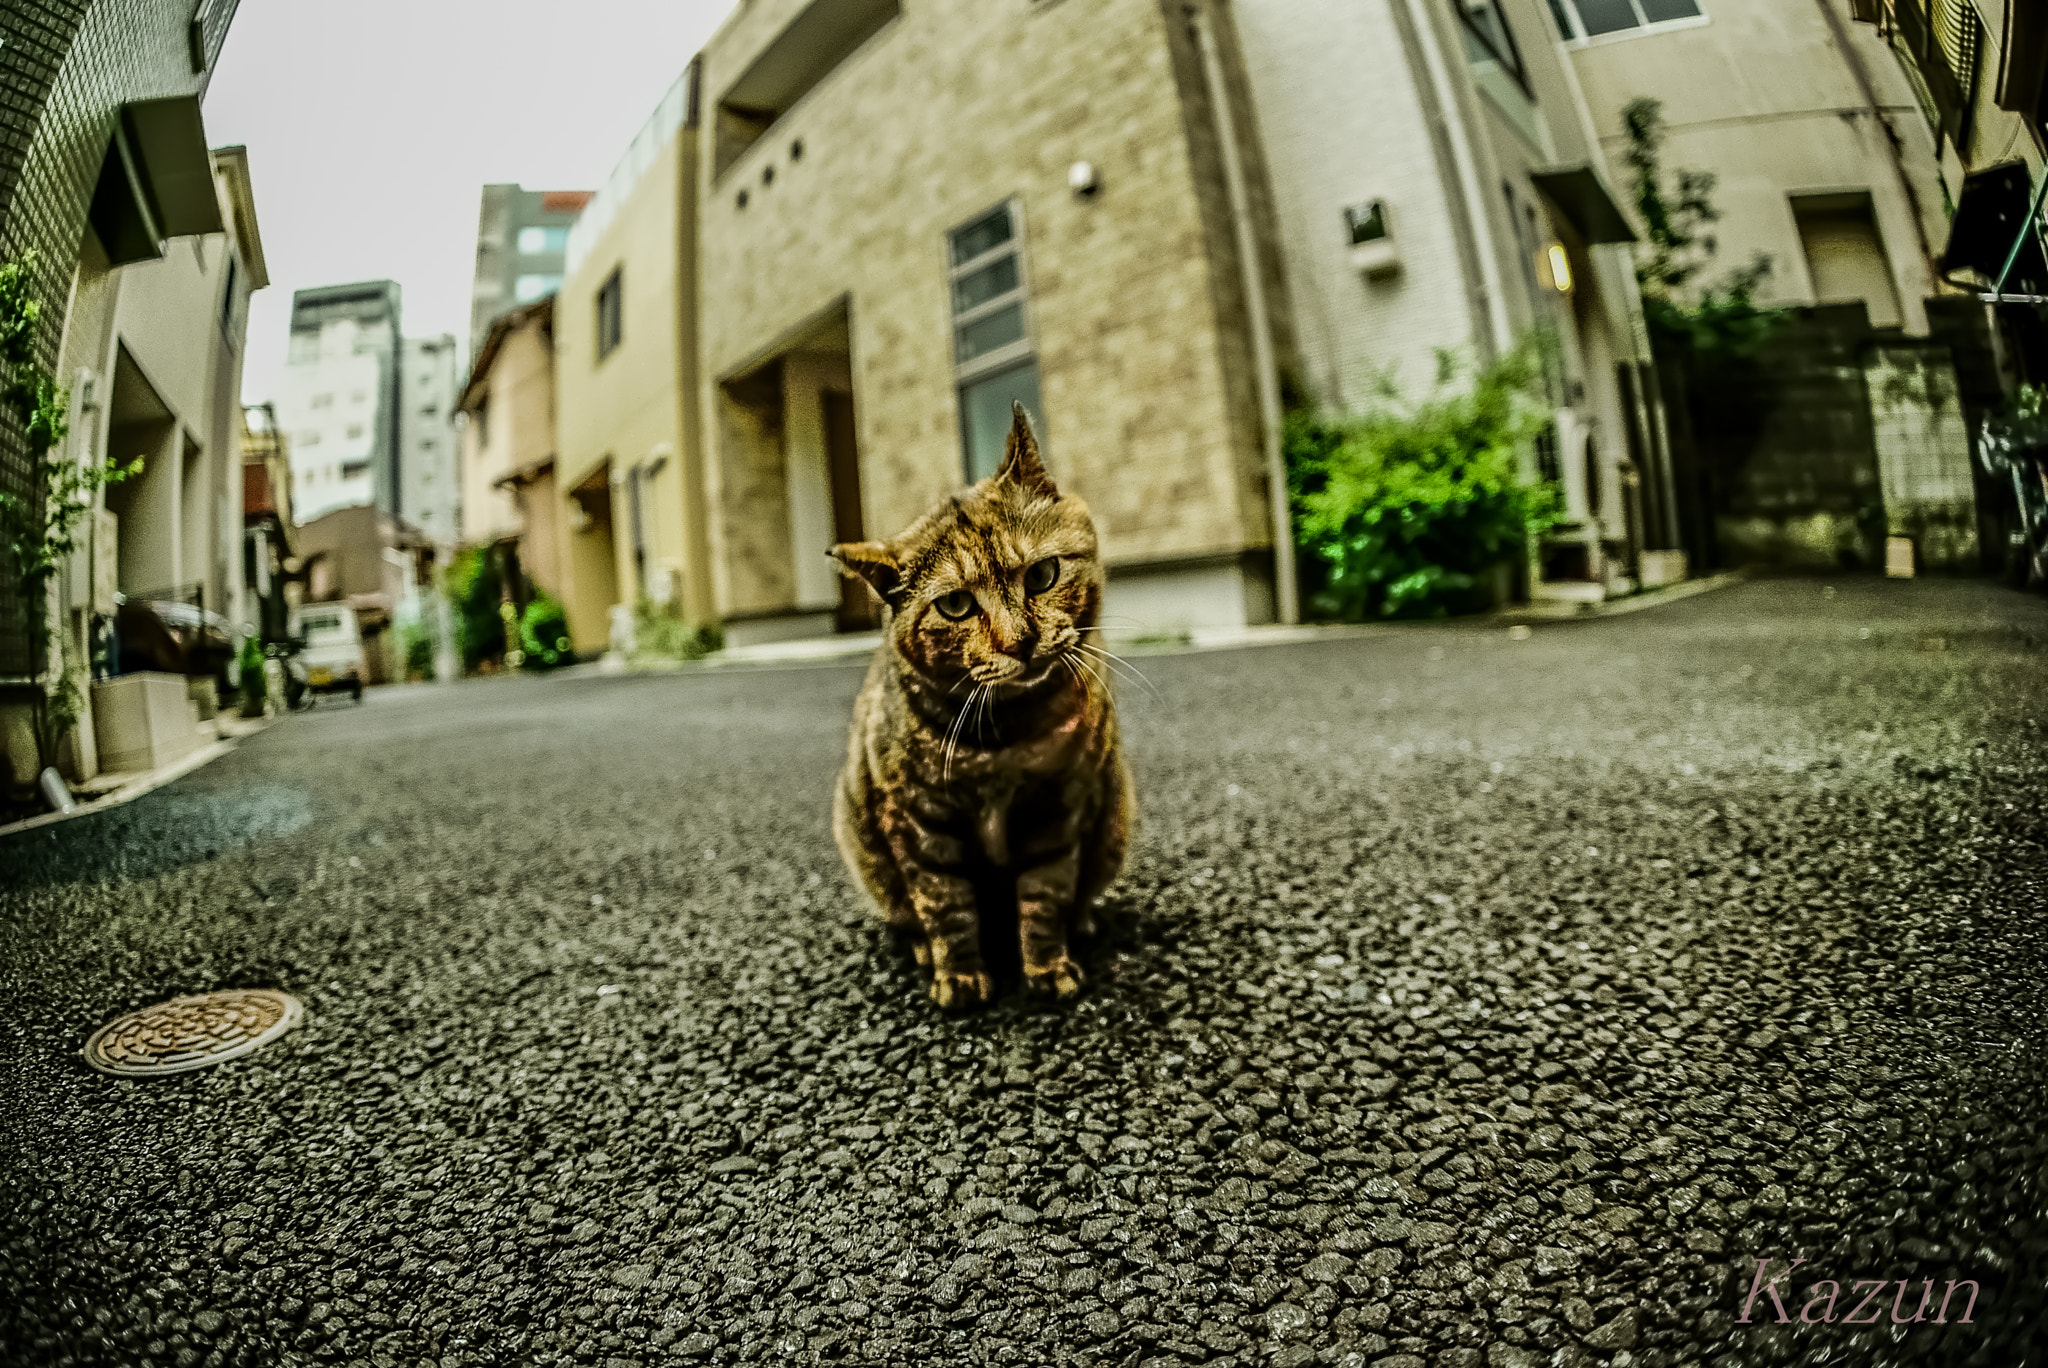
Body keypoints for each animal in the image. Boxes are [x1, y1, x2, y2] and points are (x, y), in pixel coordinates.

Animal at [827, 401, 1138, 1011]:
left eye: (1042, 574)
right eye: (955, 606)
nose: (1021, 641)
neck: (1003, 745)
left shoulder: (1057, 811)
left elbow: (1044, 899)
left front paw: (1048, 967)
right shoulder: (919, 824)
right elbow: (945, 907)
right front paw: (962, 977)